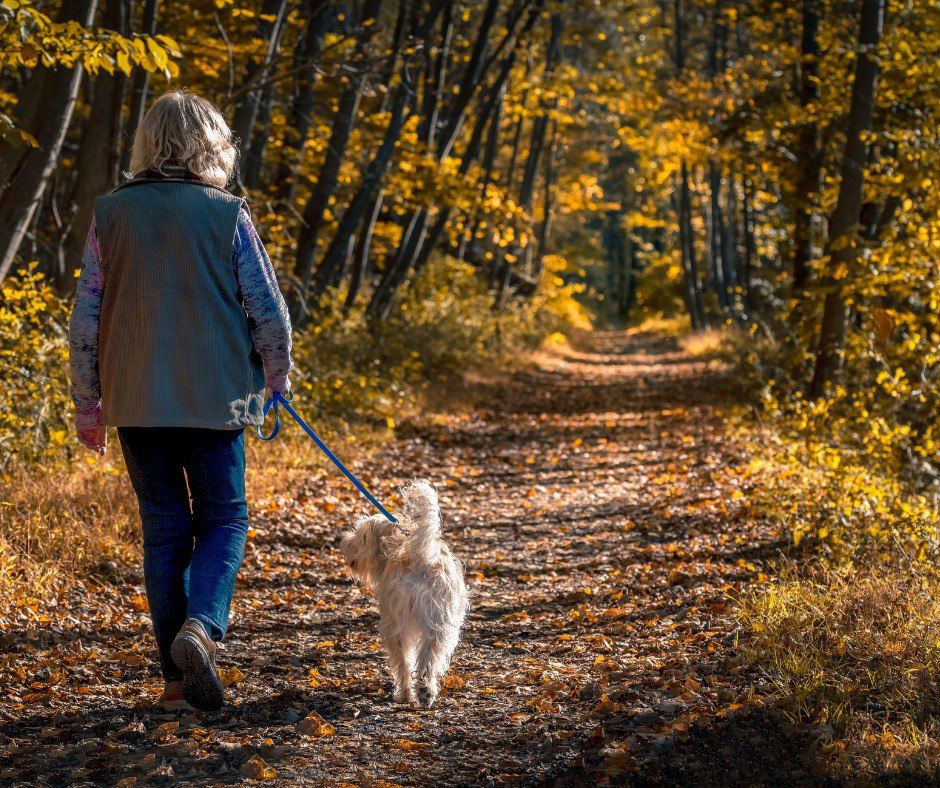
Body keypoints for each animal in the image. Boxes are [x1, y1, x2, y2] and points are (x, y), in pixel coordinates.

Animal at [340, 480, 468, 708]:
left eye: (361, 536)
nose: (343, 540)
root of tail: (422, 556)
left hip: (396, 625)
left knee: (404, 661)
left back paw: (406, 693)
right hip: (440, 626)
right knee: (428, 659)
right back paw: (425, 692)